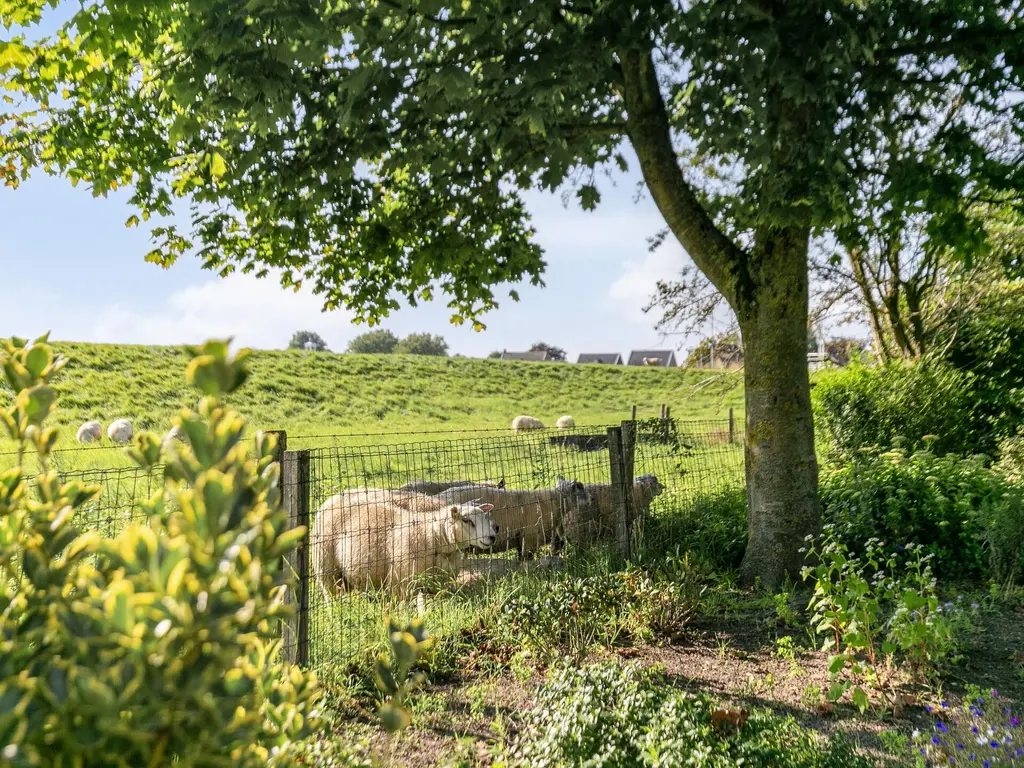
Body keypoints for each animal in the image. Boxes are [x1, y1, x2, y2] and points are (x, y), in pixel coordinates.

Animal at [309, 489, 497, 598]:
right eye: (466, 520)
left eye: (485, 516)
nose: (492, 536)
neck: (433, 535)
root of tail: (328, 502)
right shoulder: (400, 581)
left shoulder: (437, 584)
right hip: (327, 570)